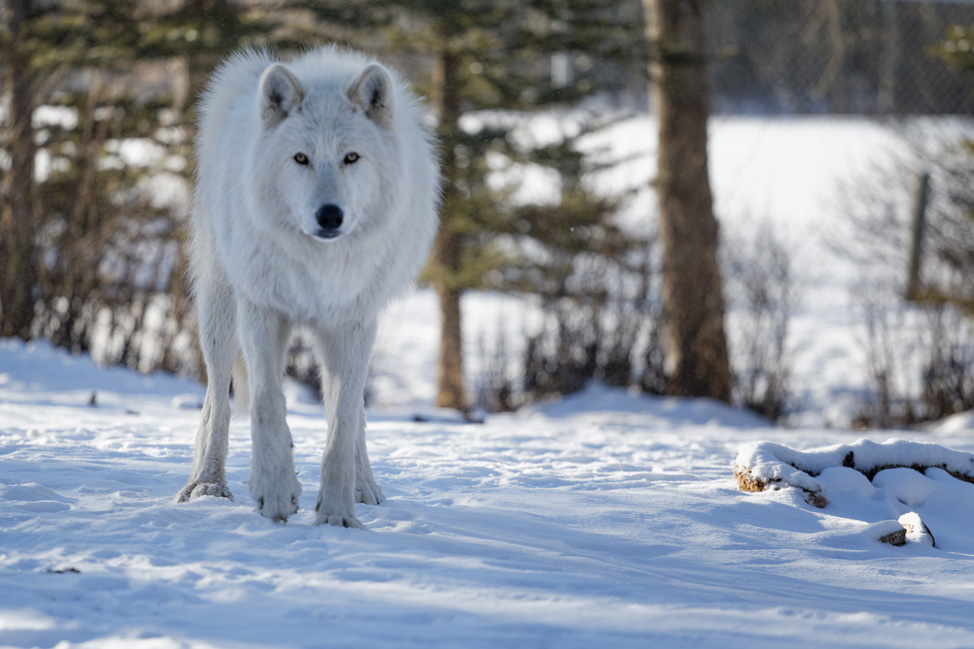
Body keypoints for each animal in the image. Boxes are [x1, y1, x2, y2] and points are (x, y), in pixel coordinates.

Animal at [176, 48, 442, 528]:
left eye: (351, 157)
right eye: (300, 158)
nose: (330, 215)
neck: (319, 265)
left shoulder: (352, 323)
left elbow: (342, 425)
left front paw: (337, 515)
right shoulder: (261, 309)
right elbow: (266, 402)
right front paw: (277, 493)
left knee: (354, 413)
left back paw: (365, 487)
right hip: (220, 312)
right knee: (217, 400)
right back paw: (207, 485)